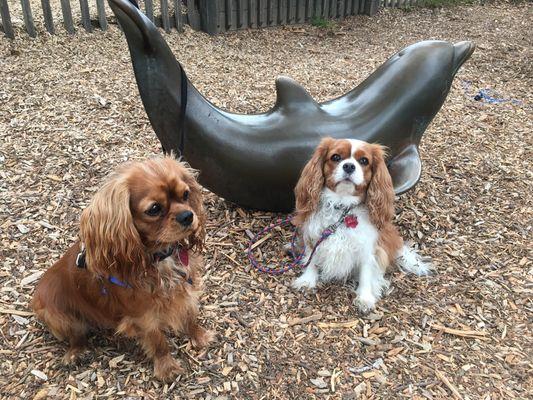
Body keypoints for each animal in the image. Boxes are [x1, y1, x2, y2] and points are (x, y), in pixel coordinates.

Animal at [288, 138, 430, 312]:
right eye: (335, 157)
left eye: (364, 161)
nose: (349, 166)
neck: (342, 207)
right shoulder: (314, 236)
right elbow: (311, 259)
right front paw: (307, 280)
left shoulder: (367, 248)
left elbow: (366, 272)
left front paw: (365, 297)